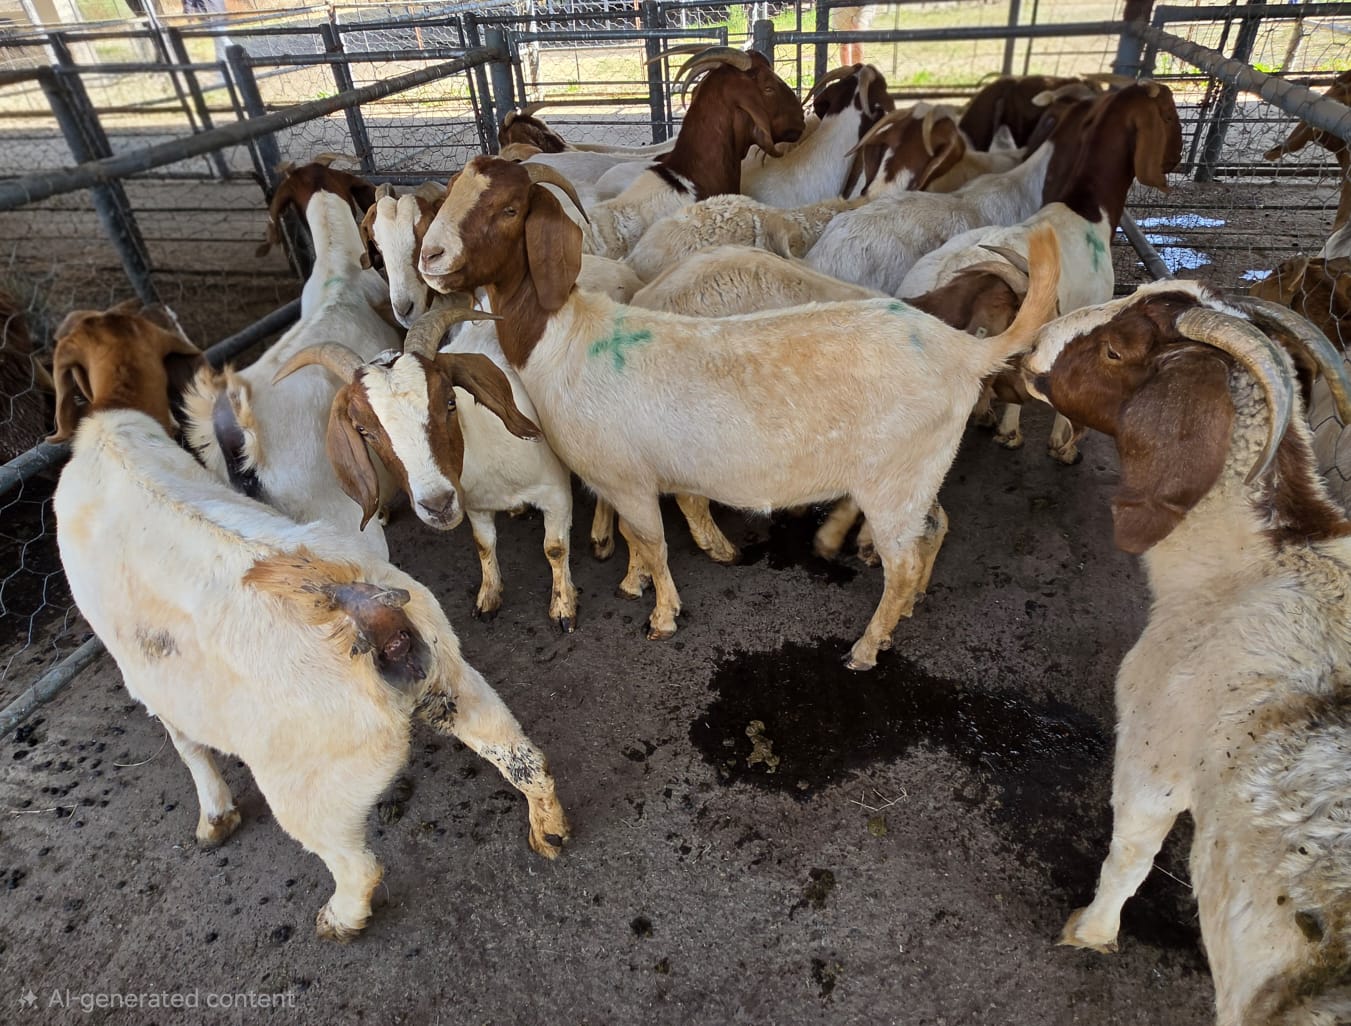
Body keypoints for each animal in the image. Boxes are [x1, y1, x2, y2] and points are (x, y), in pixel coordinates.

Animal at [275, 309, 582, 632]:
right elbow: (484, 544)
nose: (437, 505)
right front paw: (488, 597)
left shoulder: (556, 493)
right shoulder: (475, 505)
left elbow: (554, 548)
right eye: (363, 430)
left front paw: (563, 608)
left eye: (450, 401)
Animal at [417, 156, 1061, 670]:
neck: (565, 339)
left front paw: (661, 616)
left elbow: (653, 540)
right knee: (931, 533)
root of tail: (964, 350)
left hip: (893, 480)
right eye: (451, 192)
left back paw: (864, 649)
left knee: (903, 561)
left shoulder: (627, 478)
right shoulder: (625, 478)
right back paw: (900, 615)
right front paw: (632, 583)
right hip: (916, 476)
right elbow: (635, 537)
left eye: (508, 208)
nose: (430, 255)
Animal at [1022, 280, 1351, 1026]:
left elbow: (1130, 851)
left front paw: (1089, 932)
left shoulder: (1156, 740)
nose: (1030, 351)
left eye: (1116, 352)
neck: (1251, 564)